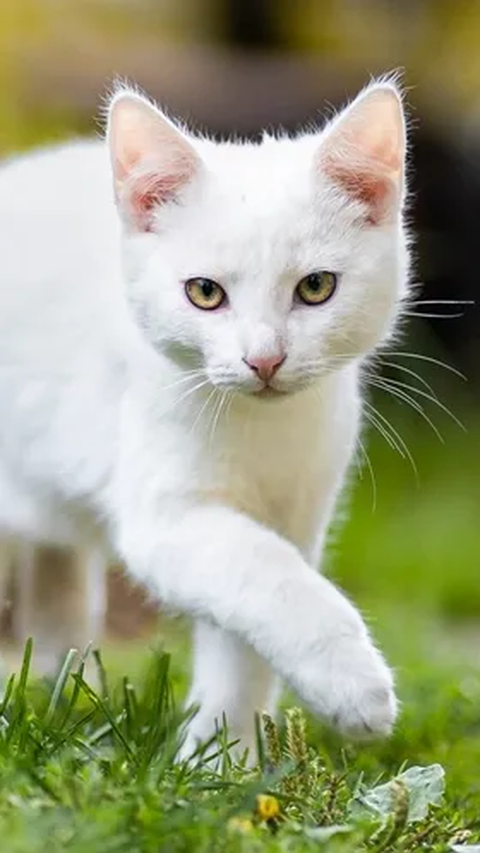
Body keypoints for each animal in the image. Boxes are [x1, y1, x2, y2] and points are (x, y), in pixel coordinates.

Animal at [0, 78, 408, 760]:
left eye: (317, 287)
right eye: (205, 293)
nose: (264, 359)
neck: (261, 430)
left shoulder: (296, 510)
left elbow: (244, 639)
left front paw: (224, 757)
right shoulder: (167, 520)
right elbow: (267, 575)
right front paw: (354, 687)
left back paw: (58, 687)